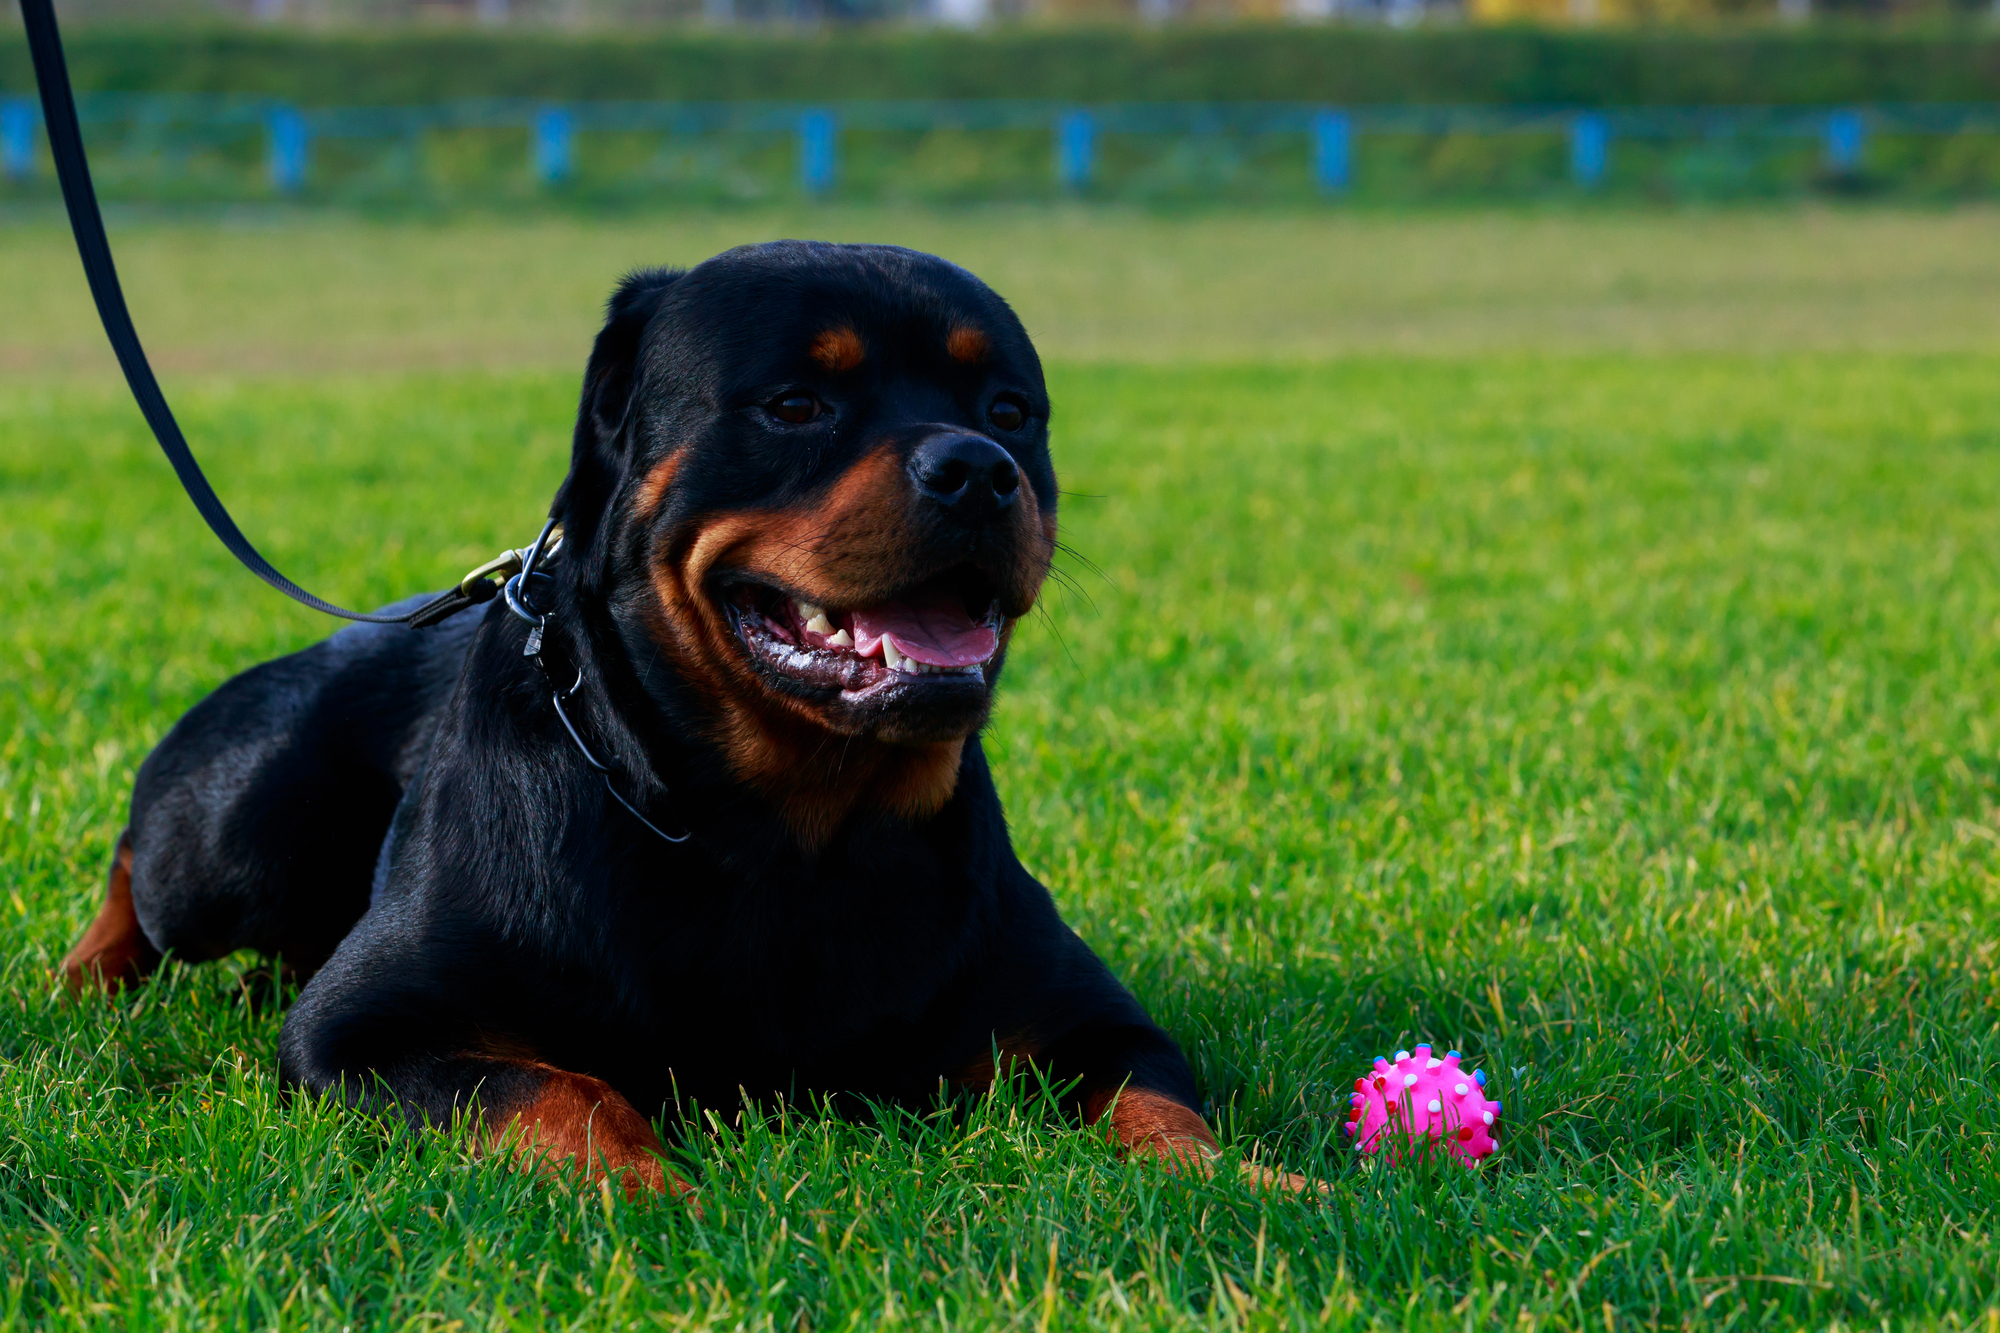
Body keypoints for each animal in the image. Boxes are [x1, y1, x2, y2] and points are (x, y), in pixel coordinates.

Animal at [62, 239, 1296, 1192]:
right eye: (796, 405)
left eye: (1010, 411)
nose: (981, 468)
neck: (788, 831)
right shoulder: (366, 1030)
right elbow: (556, 1088)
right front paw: (651, 1190)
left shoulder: (1088, 1024)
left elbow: (1163, 1107)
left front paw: (1251, 1184)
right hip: (243, 828)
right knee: (149, 856)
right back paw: (84, 979)